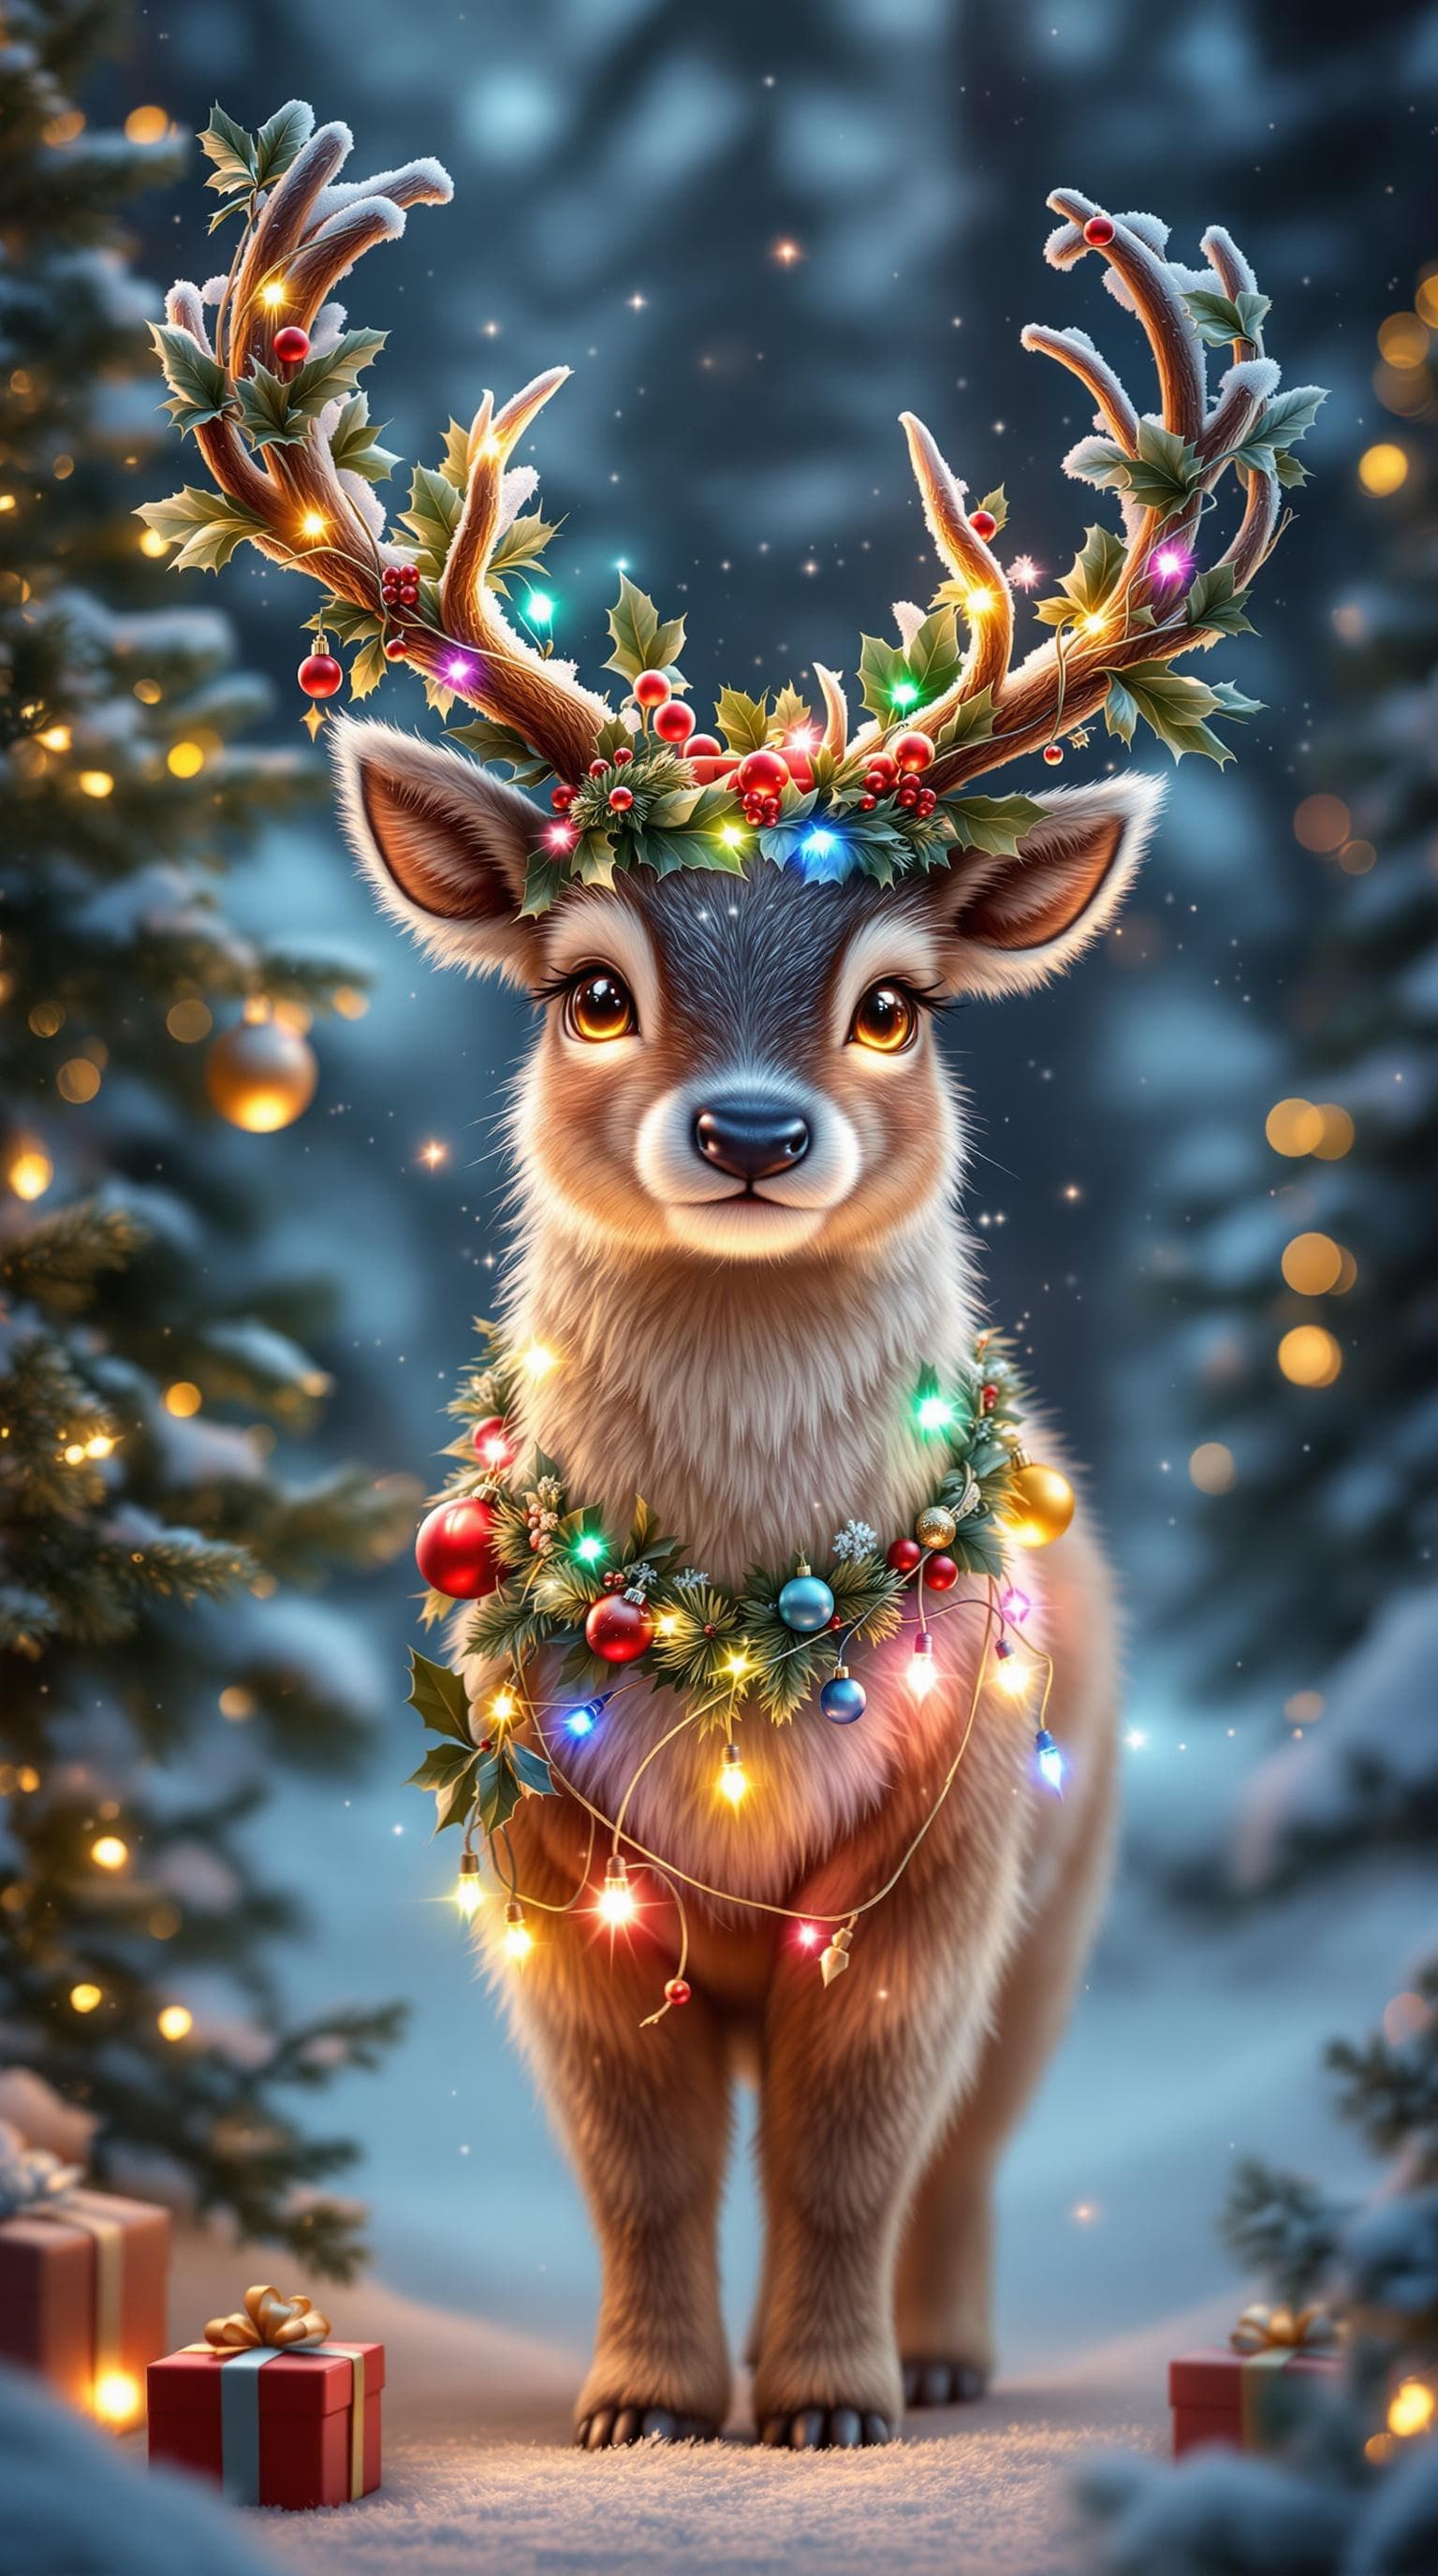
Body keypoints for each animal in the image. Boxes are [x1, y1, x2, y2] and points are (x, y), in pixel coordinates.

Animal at [150, 108, 1316, 2450]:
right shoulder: (543, 1852)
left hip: (1072, 1853)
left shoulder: (953, 1865)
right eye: (593, 985)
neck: (737, 1672)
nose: (758, 1135)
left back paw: (945, 2350)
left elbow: (859, 2139)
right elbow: (641, 2151)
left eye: (894, 1005)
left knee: (972, 2138)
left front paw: (836, 2398)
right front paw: (641, 2397)